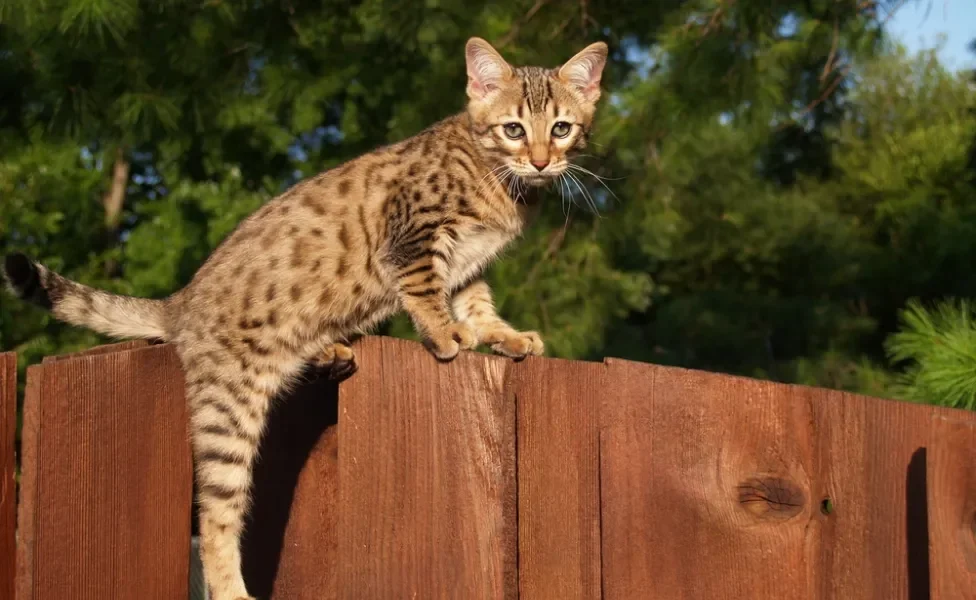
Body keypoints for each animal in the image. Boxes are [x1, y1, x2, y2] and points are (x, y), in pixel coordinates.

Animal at [3, 37, 608, 600]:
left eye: (560, 128)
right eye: (513, 129)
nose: (540, 161)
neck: (501, 182)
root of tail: (182, 300)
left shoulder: (467, 262)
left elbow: (476, 300)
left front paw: (504, 336)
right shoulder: (411, 238)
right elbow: (426, 291)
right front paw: (445, 334)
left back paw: (328, 349)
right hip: (227, 413)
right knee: (215, 516)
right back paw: (231, 589)